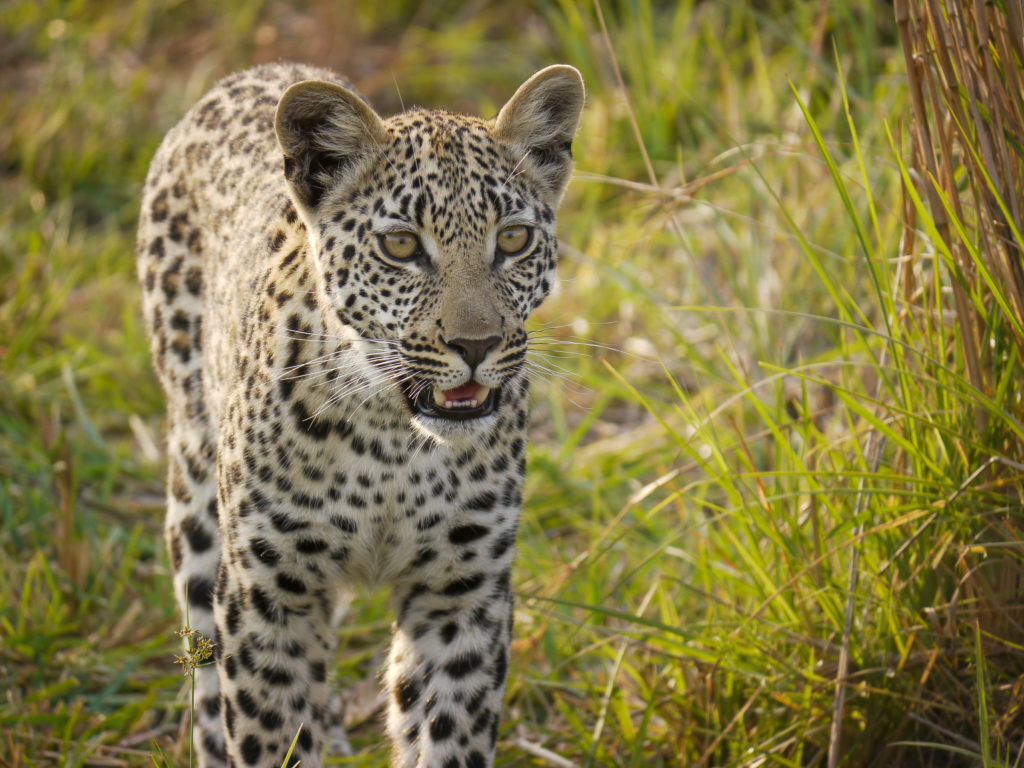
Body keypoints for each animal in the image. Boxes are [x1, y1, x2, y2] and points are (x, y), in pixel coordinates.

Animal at [136, 61, 584, 768]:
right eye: (401, 246)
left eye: (513, 240)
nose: (477, 345)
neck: (391, 443)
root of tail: (251, 73)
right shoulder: (271, 597)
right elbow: (271, 738)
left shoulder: (463, 595)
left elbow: (448, 738)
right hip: (196, 486)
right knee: (205, 669)